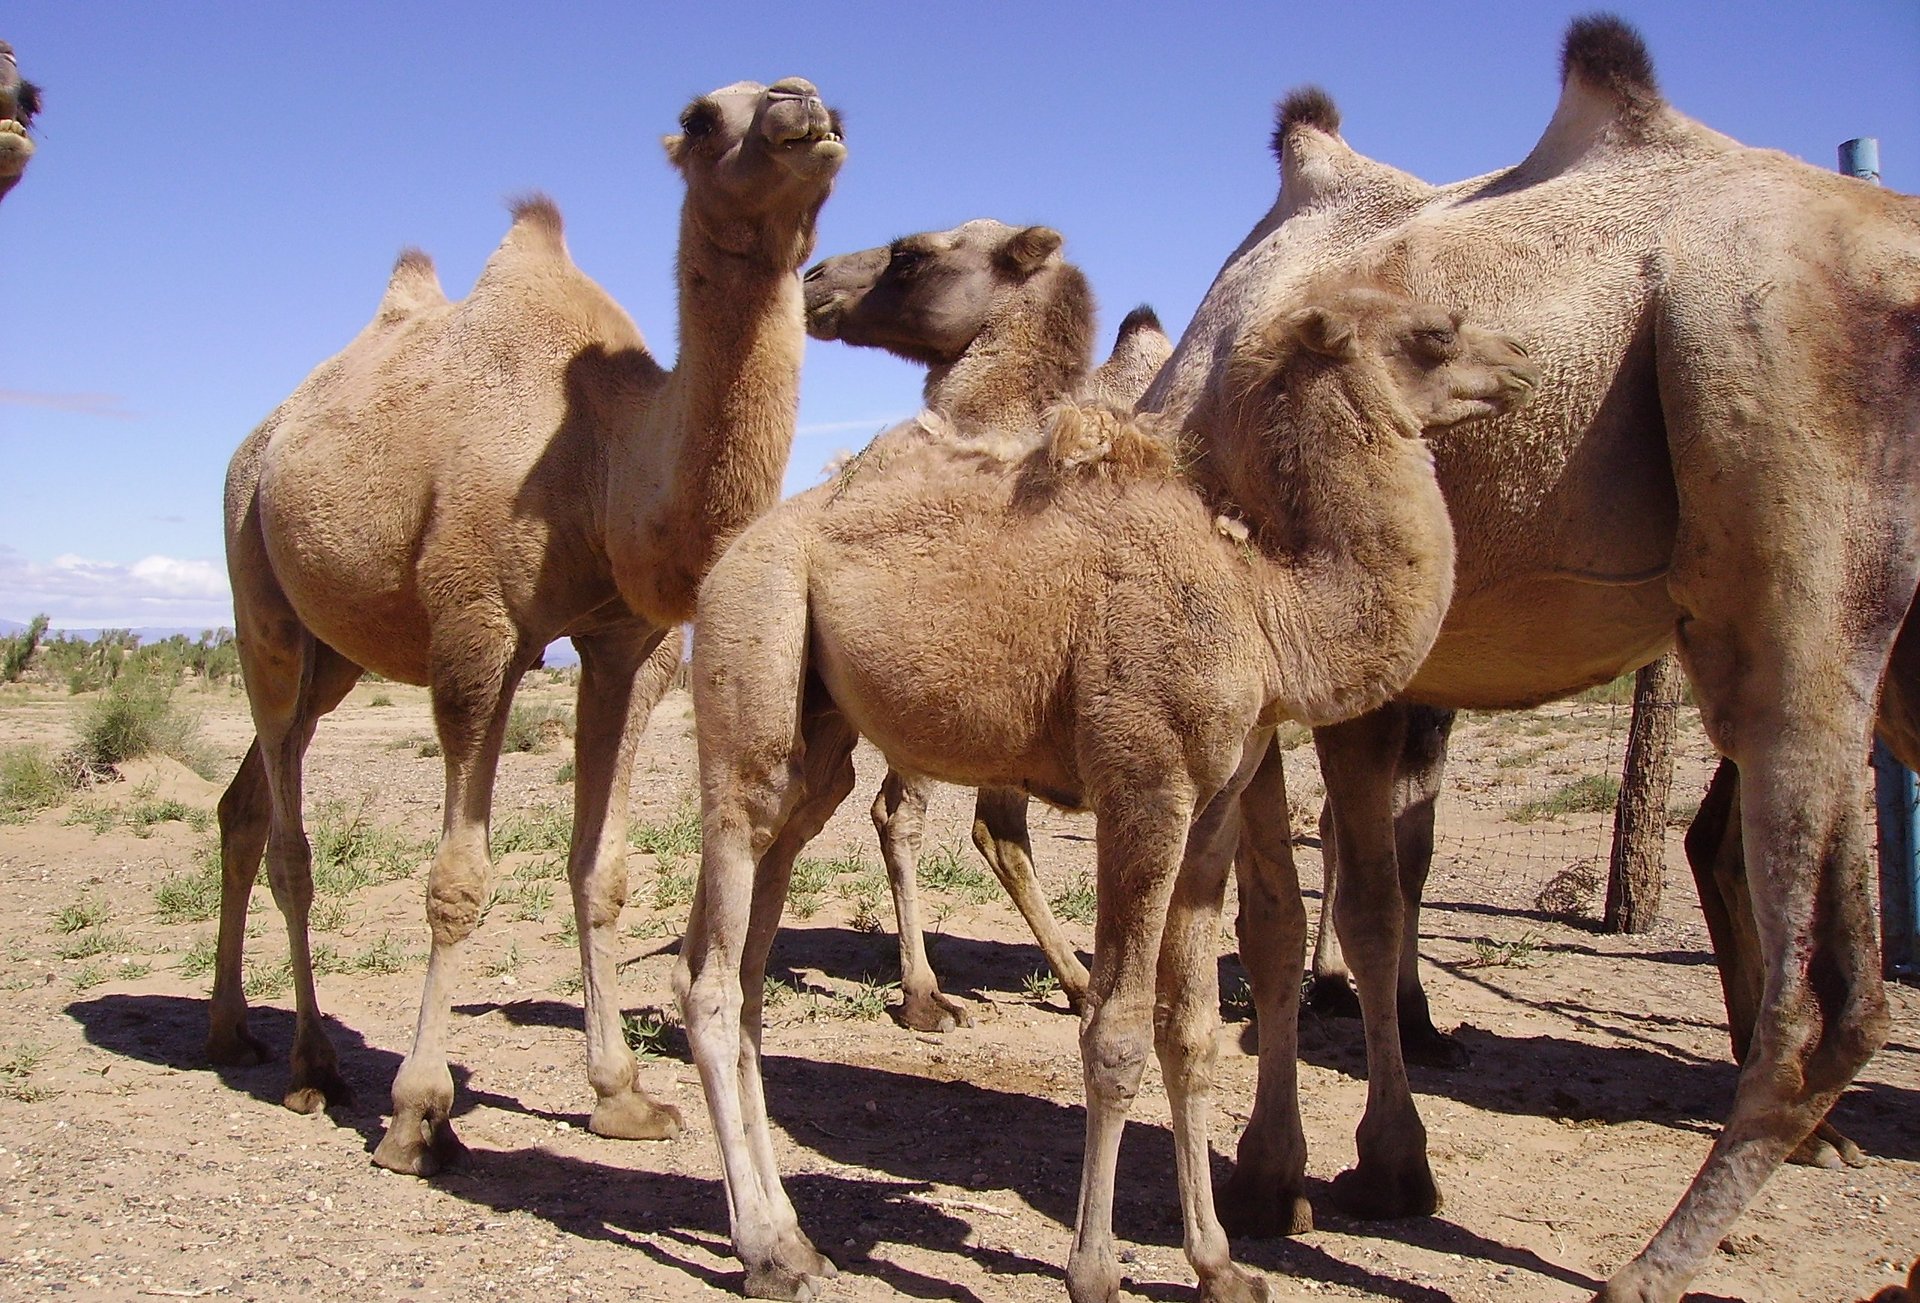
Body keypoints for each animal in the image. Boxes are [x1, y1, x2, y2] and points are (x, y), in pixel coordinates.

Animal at [210, 81, 840, 1182]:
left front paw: (622, 1094)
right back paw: (313, 1063)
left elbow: (601, 871)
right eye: (701, 116)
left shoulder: (633, 649)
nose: (799, 108)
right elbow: (458, 879)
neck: (603, 460)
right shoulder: (477, 634)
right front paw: (419, 1114)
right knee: (290, 828)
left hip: (336, 654)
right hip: (260, 593)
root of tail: (264, 436)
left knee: (244, 804)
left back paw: (226, 1030)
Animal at [1128, 15, 1920, 1297]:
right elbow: (1343, 910)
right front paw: (1361, 1167)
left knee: (1827, 990)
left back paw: (1647, 1267)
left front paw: (1290, 1174)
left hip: (1787, 537)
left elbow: (1313, 915)